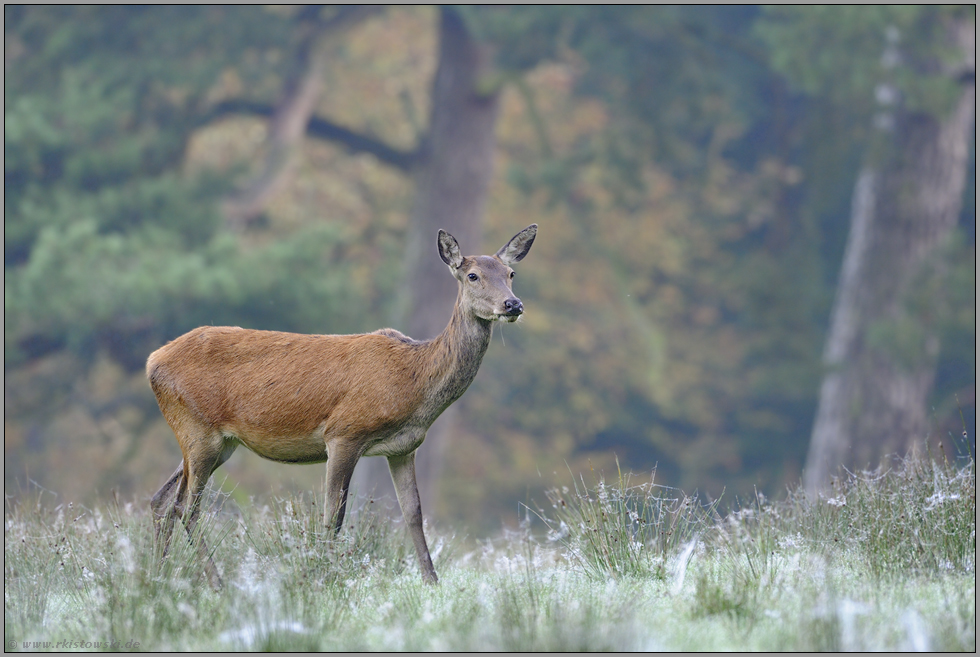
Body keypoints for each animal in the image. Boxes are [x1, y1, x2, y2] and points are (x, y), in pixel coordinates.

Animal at [145, 223, 536, 588]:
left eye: (511, 274)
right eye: (473, 275)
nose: (513, 305)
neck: (414, 383)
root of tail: (152, 361)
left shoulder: (403, 448)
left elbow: (413, 512)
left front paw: (432, 581)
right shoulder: (344, 432)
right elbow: (334, 515)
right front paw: (324, 577)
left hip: (215, 441)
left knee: (161, 500)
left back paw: (157, 578)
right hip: (198, 429)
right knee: (186, 507)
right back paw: (215, 583)